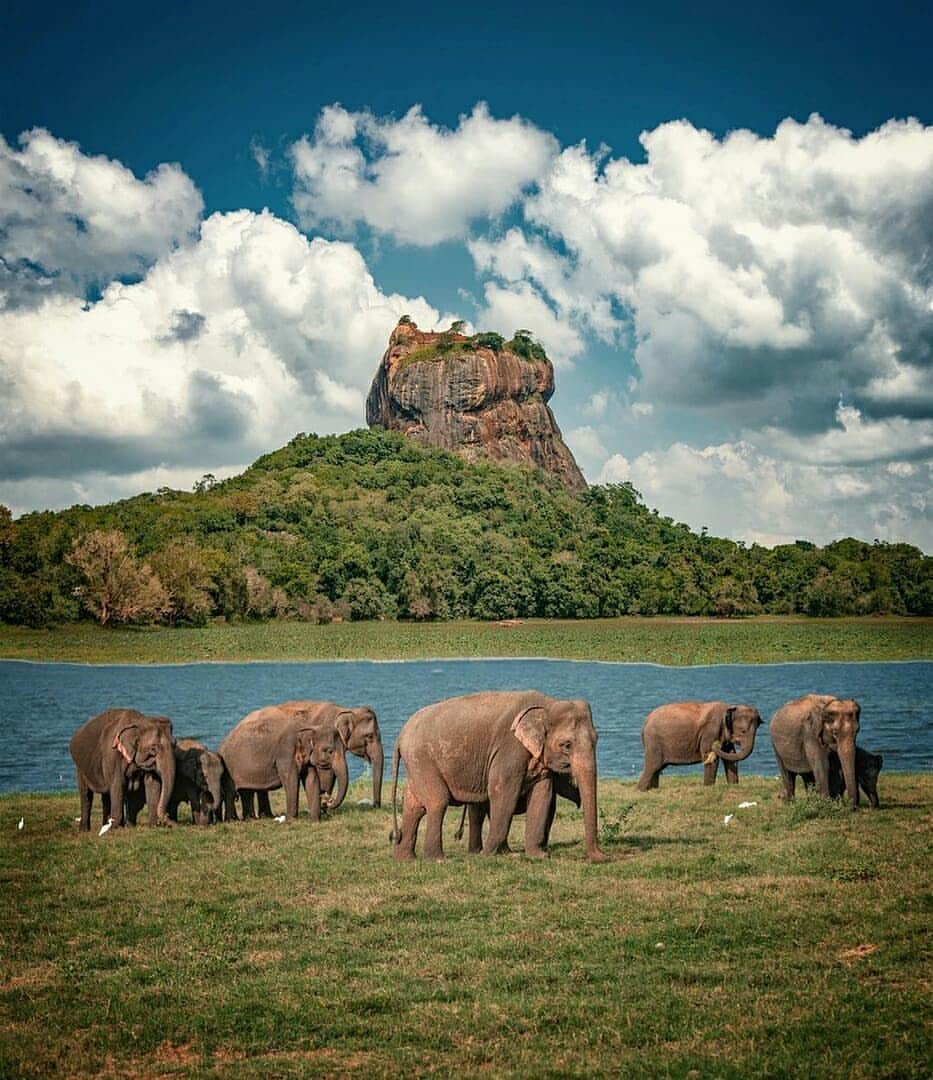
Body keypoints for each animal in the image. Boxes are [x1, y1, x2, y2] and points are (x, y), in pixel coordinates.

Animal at [218, 699, 354, 816]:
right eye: (329, 751)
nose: (327, 799)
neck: (307, 727)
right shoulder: (285, 752)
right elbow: (291, 780)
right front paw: (291, 819)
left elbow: (311, 779)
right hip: (229, 767)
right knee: (232, 792)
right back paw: (234, 819)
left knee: (247, 790)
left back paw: (254, 818)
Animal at [390, 691, 609, 859]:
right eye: (566, 745)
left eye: (597, 739)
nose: (604, 857)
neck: (547, 704)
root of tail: (400, 735)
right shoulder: (508, 750)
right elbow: (503, 792)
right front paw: (489, 854)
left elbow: (543, 795)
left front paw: (538, 856)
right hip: (422, 760)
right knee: (437, 802)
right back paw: (437, 859)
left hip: (417, 765)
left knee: (414, 806)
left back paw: (405, 859)